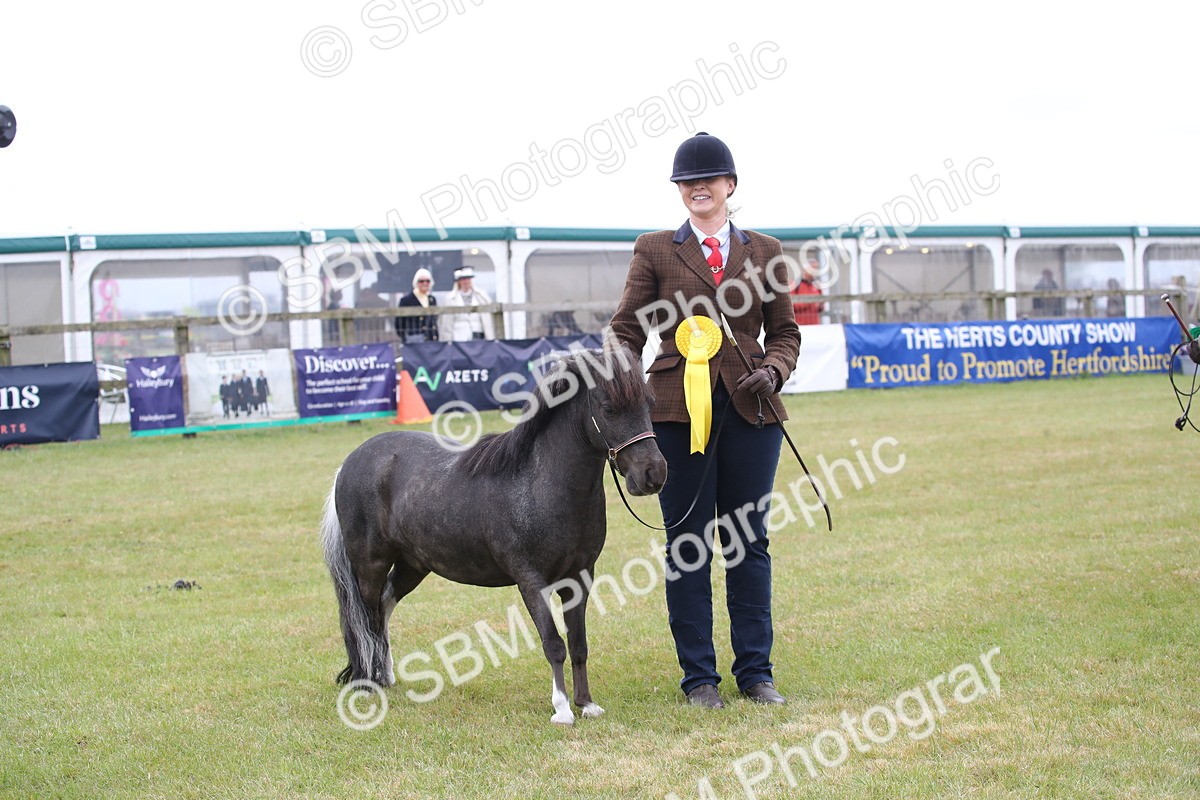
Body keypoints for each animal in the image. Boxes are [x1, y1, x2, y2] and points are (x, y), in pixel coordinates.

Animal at [320, 343, 667, 725]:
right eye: (608, 408)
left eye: (650, 403)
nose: (653, 474)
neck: (540, 483)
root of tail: (349, 462)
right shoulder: (532, 581)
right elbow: (554, 643)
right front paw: (561, 709)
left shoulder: (580, 577)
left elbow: (578, 643)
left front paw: (586, 704)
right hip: (369, 564)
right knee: (365, 619)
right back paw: (368, 685)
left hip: (414, 565)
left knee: (383, 607)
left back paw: (386, 675)